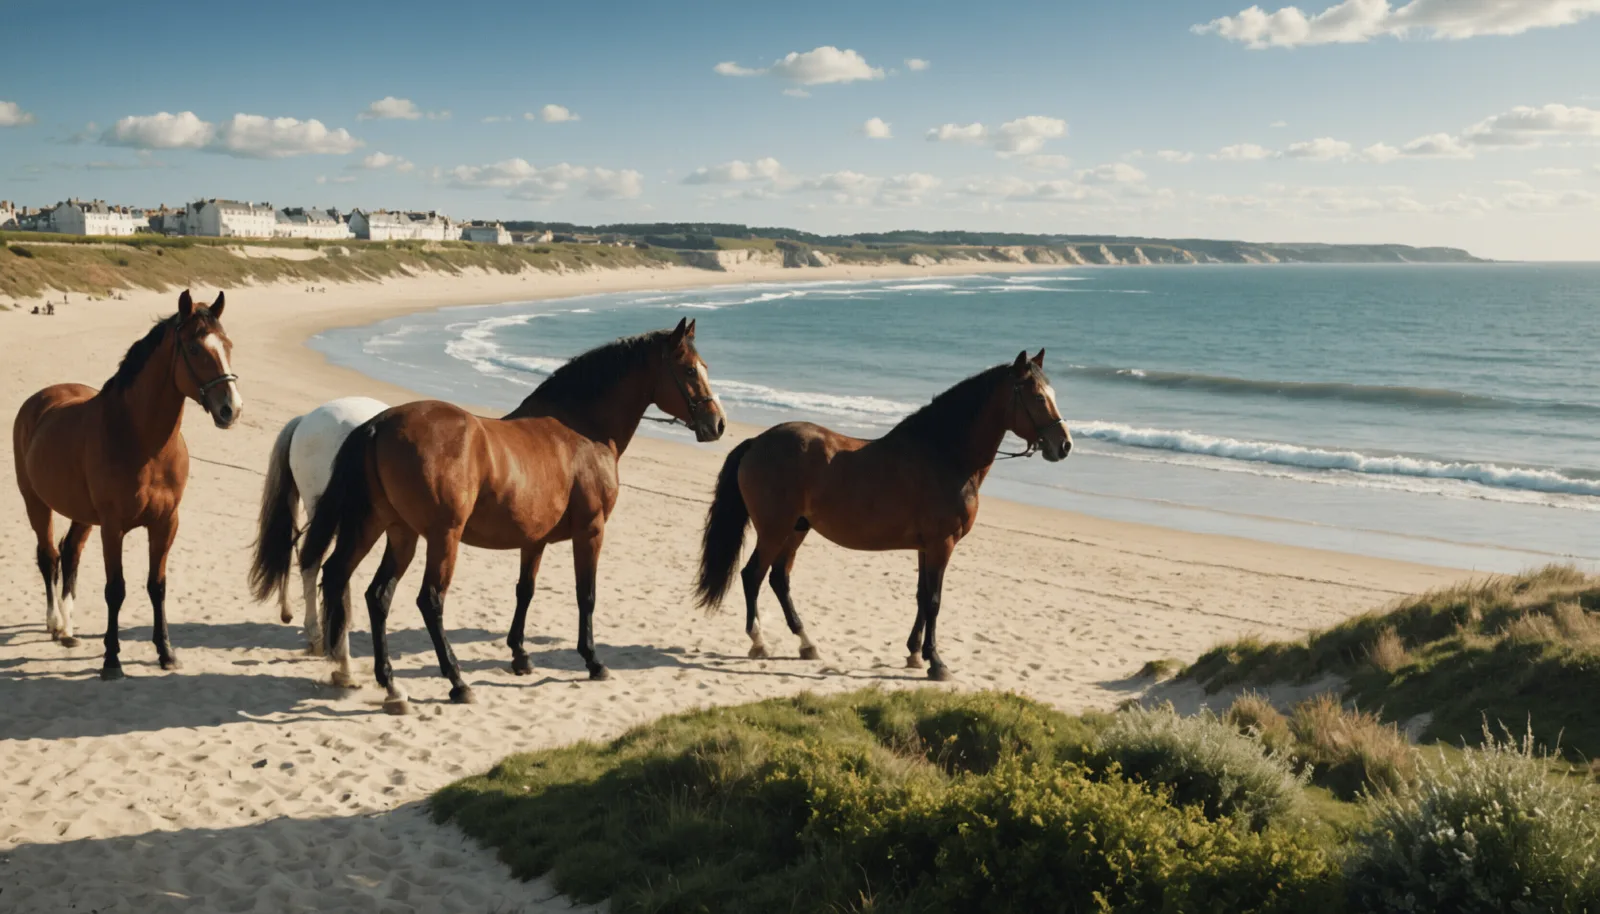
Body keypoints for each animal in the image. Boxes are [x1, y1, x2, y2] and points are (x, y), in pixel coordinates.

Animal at [12, 290, 243, 679]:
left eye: (227, 345)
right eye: (194, 349)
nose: (231, 409)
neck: (143, 442)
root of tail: (40, 400)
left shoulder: (166, 524)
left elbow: (157, 586)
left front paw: (166, 652)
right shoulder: (113, 526)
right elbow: (115, 590)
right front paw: (111, 660)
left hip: (81, 514)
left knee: (70, 554)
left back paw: (69, 630)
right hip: (36, 503)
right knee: (50, 557)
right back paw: (55, 624)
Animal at [298, 318, 725, 713]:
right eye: (690, 369)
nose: (717, 424)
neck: (582, 431)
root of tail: (378, 425)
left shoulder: (533, 540)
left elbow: (525, 591)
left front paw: (520, 655)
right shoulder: (591, 530)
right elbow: (585, 594)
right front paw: (593, 660)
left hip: (390, 530)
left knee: (365, 589)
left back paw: (383, 681)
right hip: (441, 537)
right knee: (429, 601)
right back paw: (456, 682)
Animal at [695, 350, 1070, 681]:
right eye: (1038, 397)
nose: (1064, 445)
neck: (945, 455)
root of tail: (757, 441)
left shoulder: (926, 547)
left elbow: (922, 597)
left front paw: (915, 654)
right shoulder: (942, 544)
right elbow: (934, 601)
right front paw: (937, 663)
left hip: (797, 529)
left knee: (778, 579)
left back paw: (806, 643)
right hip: (775, 530)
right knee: (753, 576)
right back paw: (759, 641)